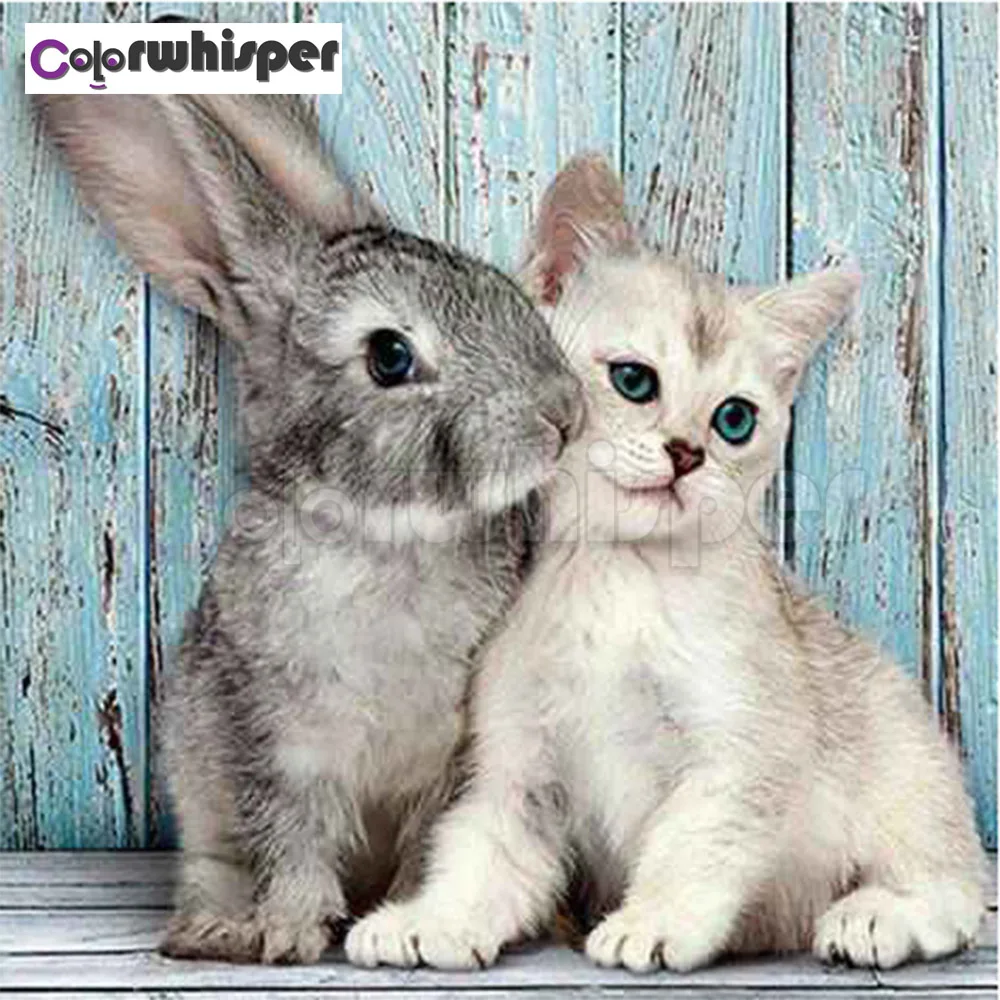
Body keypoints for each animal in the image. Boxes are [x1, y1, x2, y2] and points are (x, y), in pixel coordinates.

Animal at [37, 94, 583, 964]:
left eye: (507, 295)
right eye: (389, 355)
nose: (563, 414)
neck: (385, 537)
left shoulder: (449, 760)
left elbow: (424, 847)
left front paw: (397, 923)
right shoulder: (271, 742)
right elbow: (289, 843)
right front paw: (289, 935)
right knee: (215, 868)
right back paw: (208, 930)